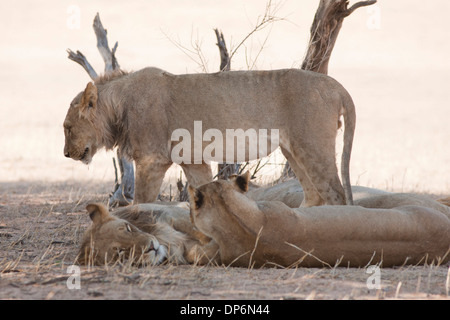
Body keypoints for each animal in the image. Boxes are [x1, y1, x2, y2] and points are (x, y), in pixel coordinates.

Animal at [64, 68, 356, 208]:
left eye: (67, 127)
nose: (66, 154)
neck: (117, 106)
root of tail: (335, 85)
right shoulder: (193, 161)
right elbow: (202, 191)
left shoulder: (151, 159)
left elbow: (142, 201)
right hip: (293, 150)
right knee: (314, 194)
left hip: (312, 146)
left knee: (334, 194)